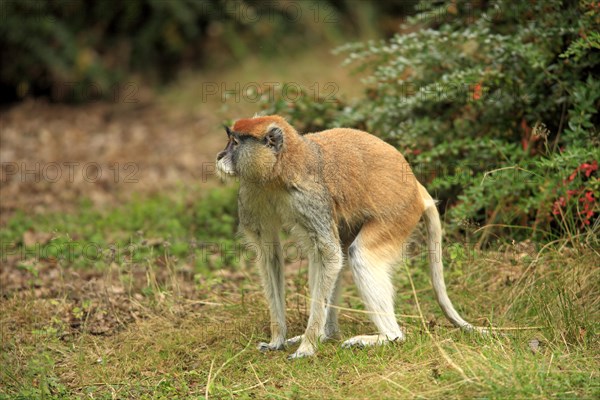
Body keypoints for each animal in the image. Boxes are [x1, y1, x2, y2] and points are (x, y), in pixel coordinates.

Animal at [216, 114, 488, 358]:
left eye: (236, 143)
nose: (219, 156)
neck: (280, 168)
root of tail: (415, 186)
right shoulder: (252, 191)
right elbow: (270, 255)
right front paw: (278, 340)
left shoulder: (309, 197)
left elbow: (330, 256)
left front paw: (307, 346)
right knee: (327, 257)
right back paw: (327, 334)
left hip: (398, 214)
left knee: (360, 255)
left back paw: (388, 337)